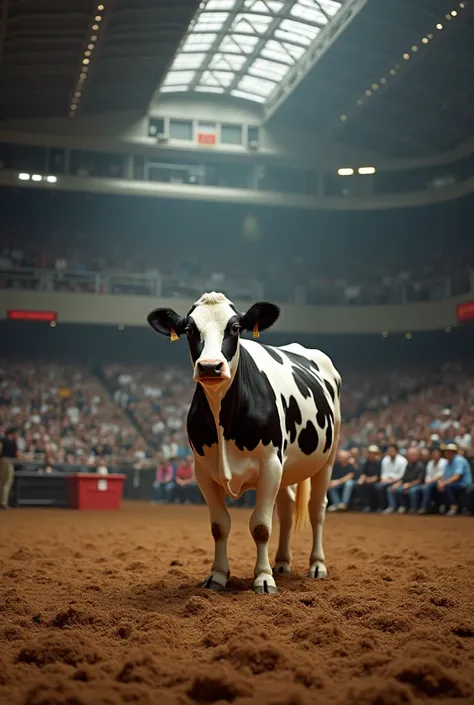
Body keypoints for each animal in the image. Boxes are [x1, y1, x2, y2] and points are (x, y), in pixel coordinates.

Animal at [148, 292, 340, 592]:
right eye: (190, 329)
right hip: (287, 468)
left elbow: (261, 525)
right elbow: (219, 526)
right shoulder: (203, 471)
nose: (210, 366)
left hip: (327, 458)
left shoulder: (270, 464)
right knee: (287, 510)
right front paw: (217, 575)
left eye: (235, 327)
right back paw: (282, 563)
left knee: (317, 509)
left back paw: (317, 565)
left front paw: (263, 578)